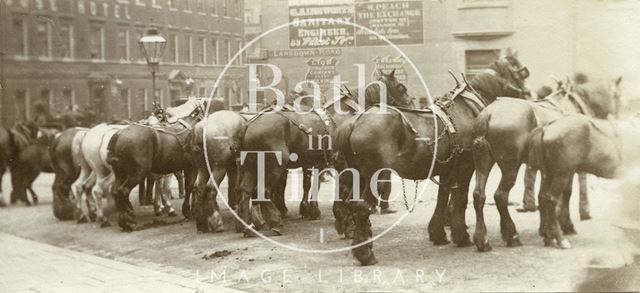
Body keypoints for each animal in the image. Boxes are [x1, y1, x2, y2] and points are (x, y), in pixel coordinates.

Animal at [106, 104, 204, 232]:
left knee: (116, 191)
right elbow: (190, 187)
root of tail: (119, 134)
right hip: (138, 173)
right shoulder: (192, 167)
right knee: (123, 191)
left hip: (121, 173)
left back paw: (124, 219)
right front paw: (188, 211)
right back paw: (129, 220)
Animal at [236, 70, 416, 235]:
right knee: (263, 191)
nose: (411, 108)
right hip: (274, 165)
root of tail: (249, 125)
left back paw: (248, 225)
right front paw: (346, 222)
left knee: (245, 191)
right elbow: (344, 192)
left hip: (251, 165)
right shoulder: (343, 164)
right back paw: (274, 221)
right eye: (401, 87)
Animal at [470, 77, 620, 251]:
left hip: (483, 163)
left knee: (478, 195)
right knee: (500, 196)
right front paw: (565, 225)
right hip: (510, 168)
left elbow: (543, 196)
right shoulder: (566, 169)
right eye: (616, 95)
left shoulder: (547, 169)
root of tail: (489, 113)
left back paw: (483, 239)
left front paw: (546, 230)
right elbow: (565, 193)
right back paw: (512, 235)